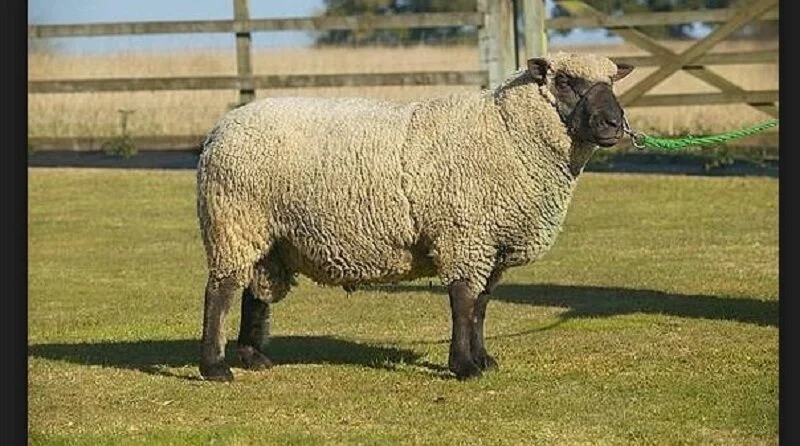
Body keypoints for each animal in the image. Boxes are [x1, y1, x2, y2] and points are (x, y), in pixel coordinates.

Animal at [196, 52, 635, 382]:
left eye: (612, 83)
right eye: (565, 81)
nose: (615, 124)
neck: (507, 133)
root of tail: (221, 129)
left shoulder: (489, 243)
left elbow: (481, 305)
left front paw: (483, 359)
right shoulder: (464, 234)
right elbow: (463, 302)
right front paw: (464, 366)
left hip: (269, 235)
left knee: (254, 290)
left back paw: (252, 357)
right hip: (234, 221)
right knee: (220, 292)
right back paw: (215, 367)